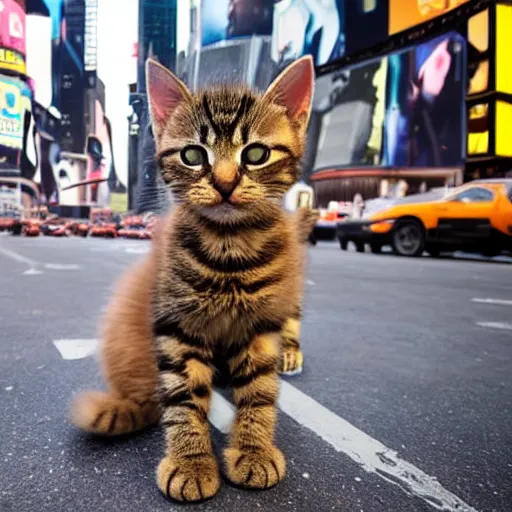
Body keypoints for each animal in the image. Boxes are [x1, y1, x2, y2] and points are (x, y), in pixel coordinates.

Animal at [70, 55, 314, 500]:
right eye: (192, 155)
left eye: (256, 153)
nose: (224, 183)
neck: (229, 247)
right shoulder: (177, 324)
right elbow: (183, 397)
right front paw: (192, 461)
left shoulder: (260, 327)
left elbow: (260, 391)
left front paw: (254, 449)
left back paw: (290, 354)